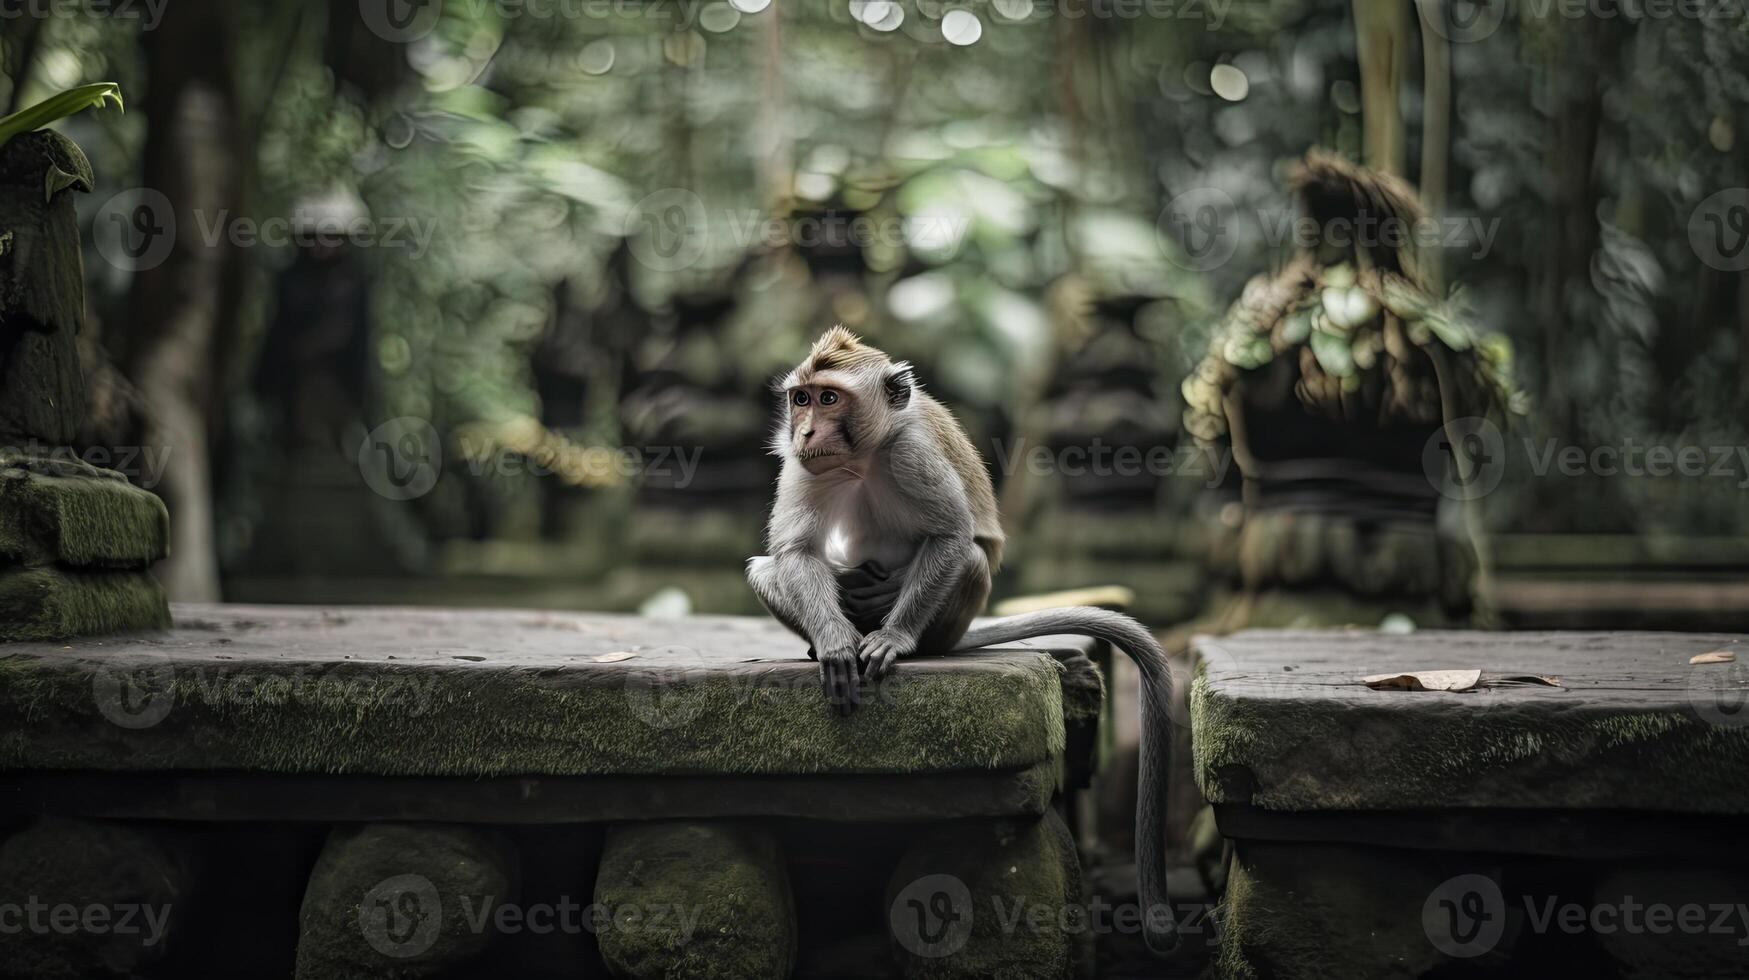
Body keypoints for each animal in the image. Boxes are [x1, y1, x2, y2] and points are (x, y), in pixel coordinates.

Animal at [748, 325, 1175, 952]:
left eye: (828, 399)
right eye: (800, 400)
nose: (803, 432)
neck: (863, 459)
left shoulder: (911, 455)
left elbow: (952, 537)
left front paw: (893, 638)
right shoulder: (805, 468)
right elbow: (795, 554)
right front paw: (833, 645)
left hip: (954, 616)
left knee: (970, 558)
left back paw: (908, 639)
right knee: (765, 568)